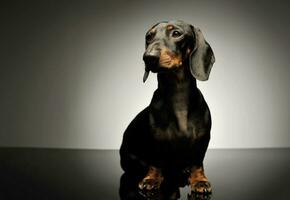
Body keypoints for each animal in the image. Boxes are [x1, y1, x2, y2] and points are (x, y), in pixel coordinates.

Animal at [119, 20, 215, 197]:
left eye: (176, 33)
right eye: (149, 37)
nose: (148, 57)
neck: (177, 93)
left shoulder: (202, 140)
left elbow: (197, 163)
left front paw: (199, 180)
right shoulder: (155, 139)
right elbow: (156, 161)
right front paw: (152, 179)